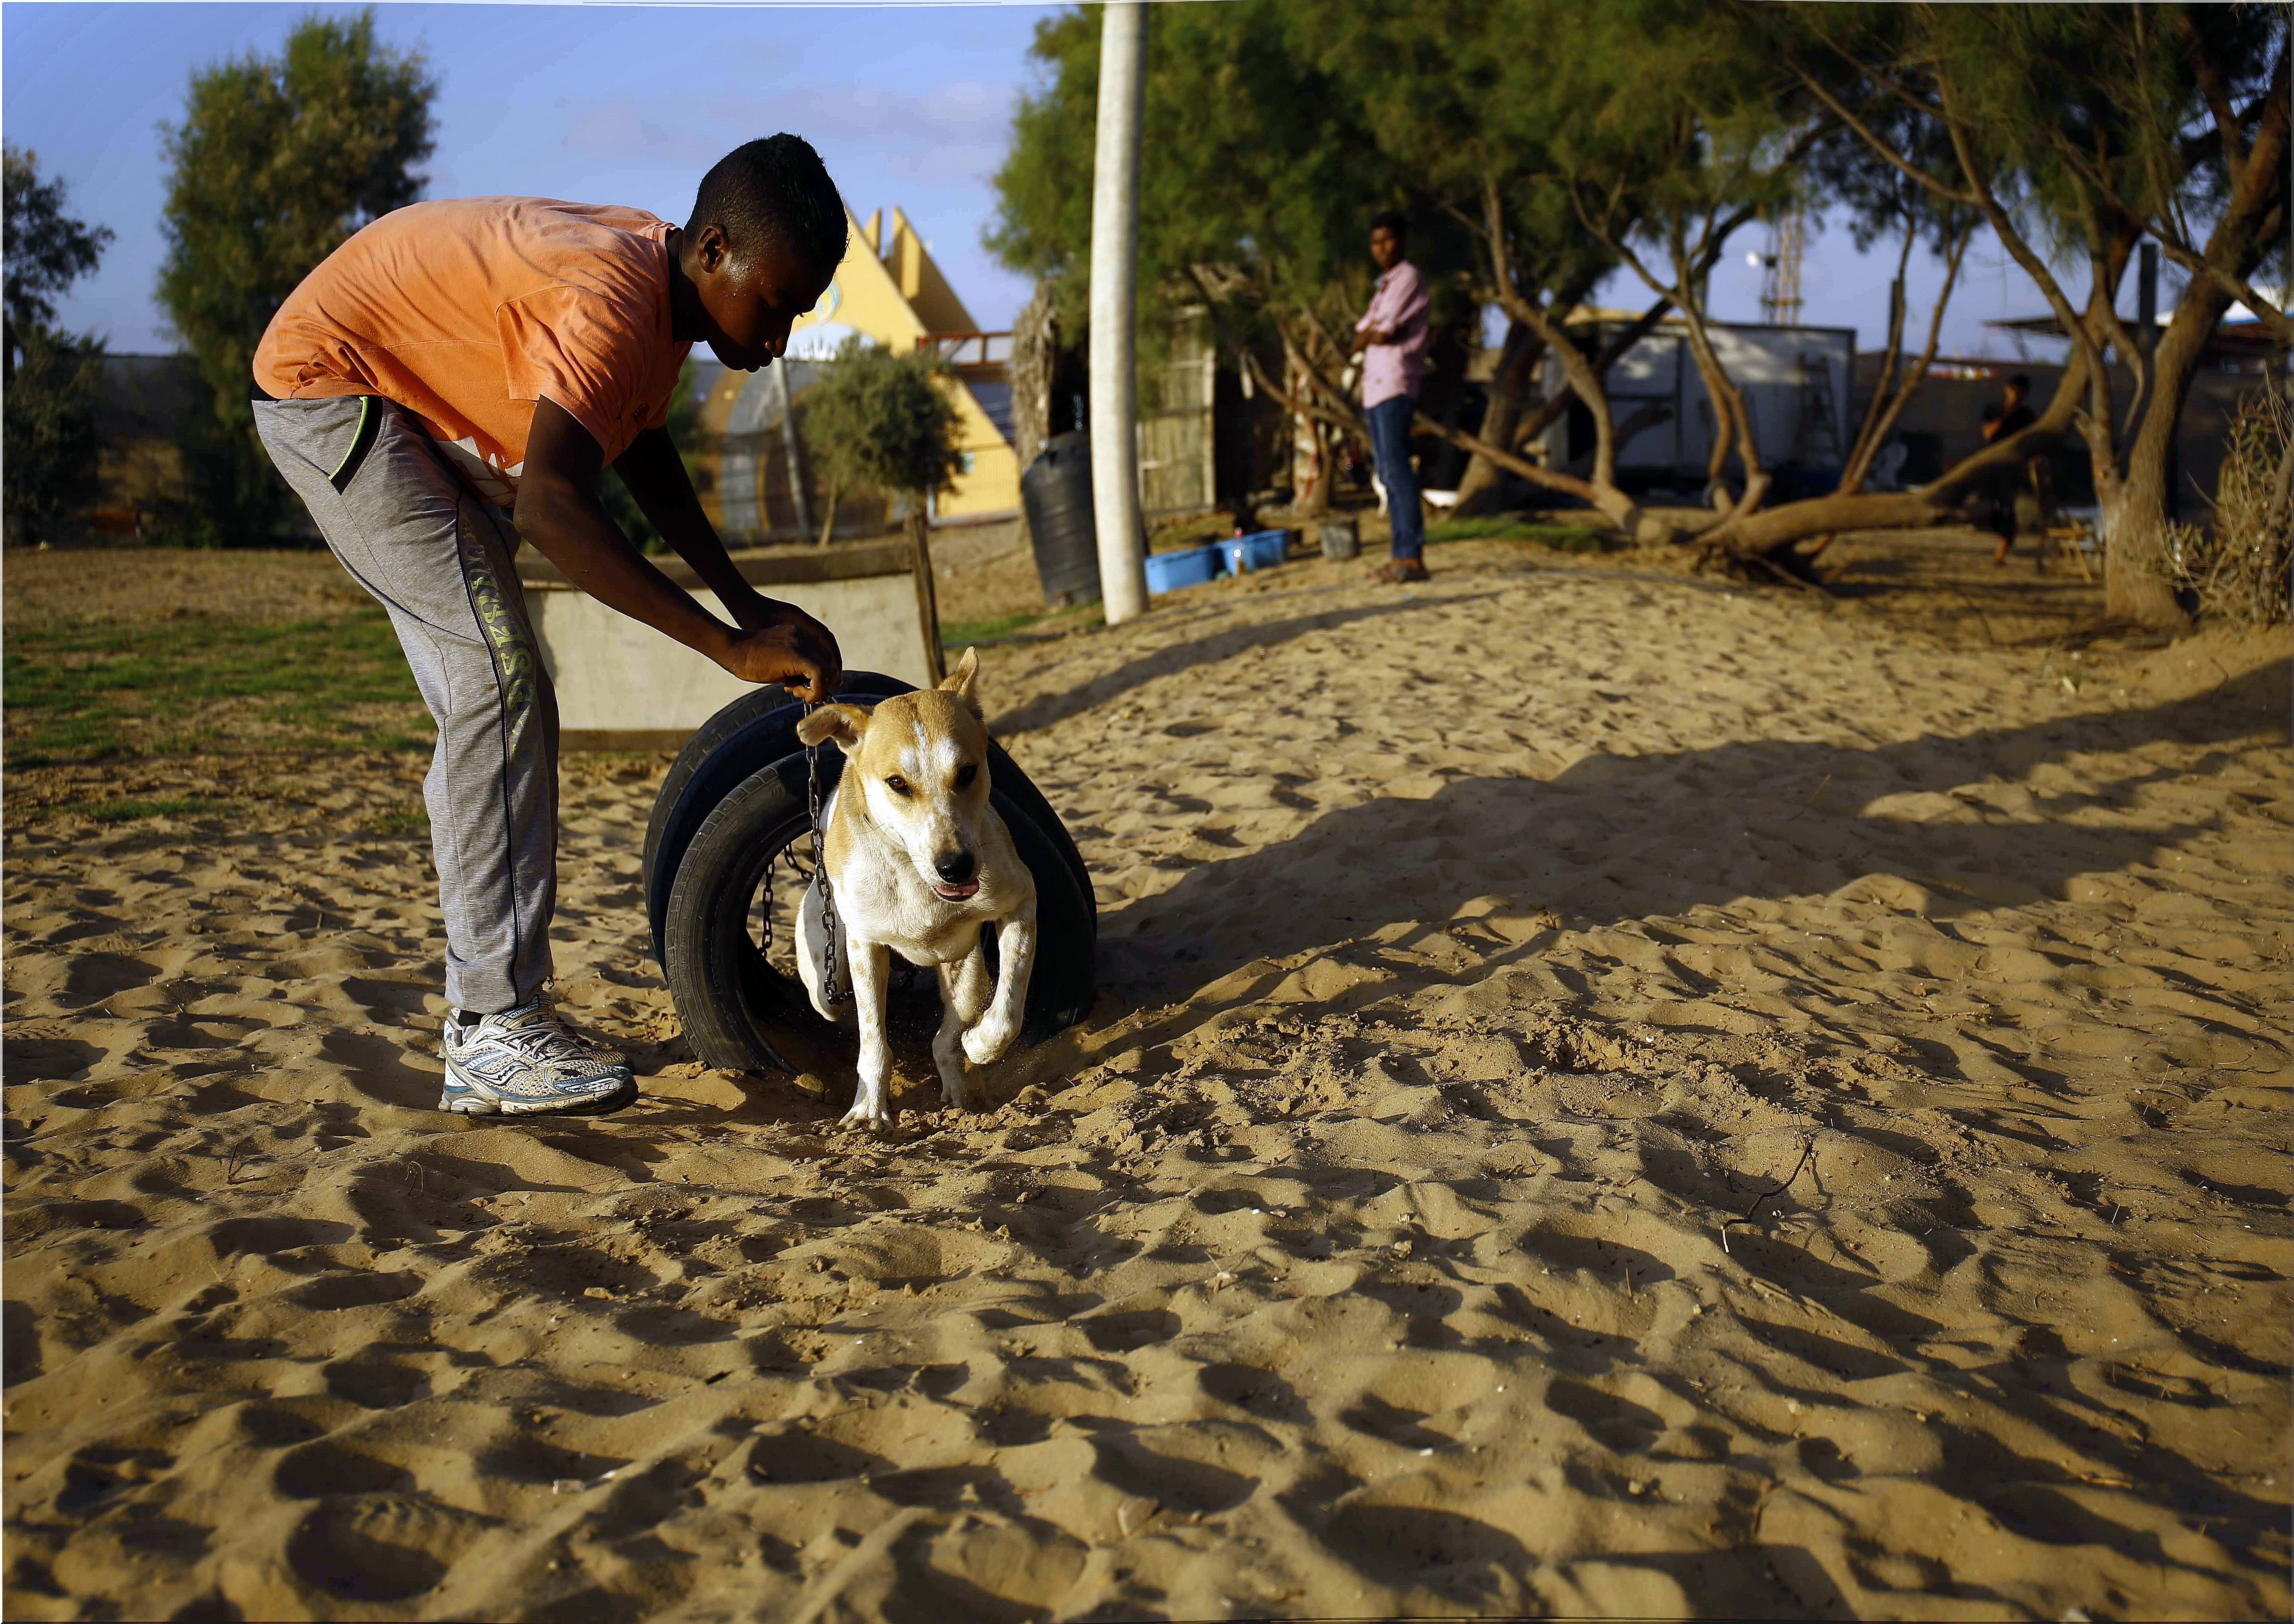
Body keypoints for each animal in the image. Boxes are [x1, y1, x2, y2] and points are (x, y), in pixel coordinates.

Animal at [794, 642, 1037, 1124]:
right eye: (897, 783)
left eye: (967, 771)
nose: (955, 866)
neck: (915, 878)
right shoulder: (865, 948)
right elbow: (873, 1043)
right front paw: (869, 1110)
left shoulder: (1020, 898)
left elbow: (1008, 1009)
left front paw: (981, 1044)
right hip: (821, 968)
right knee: (831, 1004)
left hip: (967, 970)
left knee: (950, 1031)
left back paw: (960, 1092)